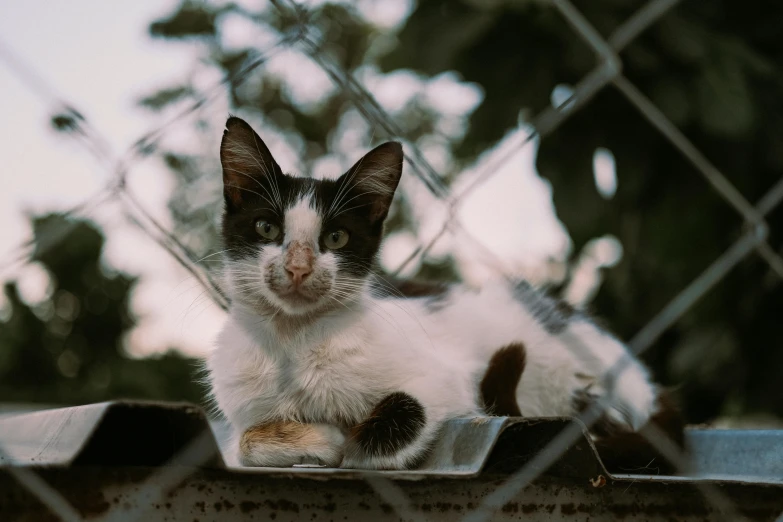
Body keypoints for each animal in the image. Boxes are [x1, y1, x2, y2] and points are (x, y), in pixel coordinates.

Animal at [205, 116, 676, 470]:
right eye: (267, 228)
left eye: (336, 238)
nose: (298, 268)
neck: (295, 340)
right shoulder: (240, 406)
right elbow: (244, 442)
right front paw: (312, 438)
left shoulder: (450, 380)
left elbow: (404, 414)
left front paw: (341, 442)